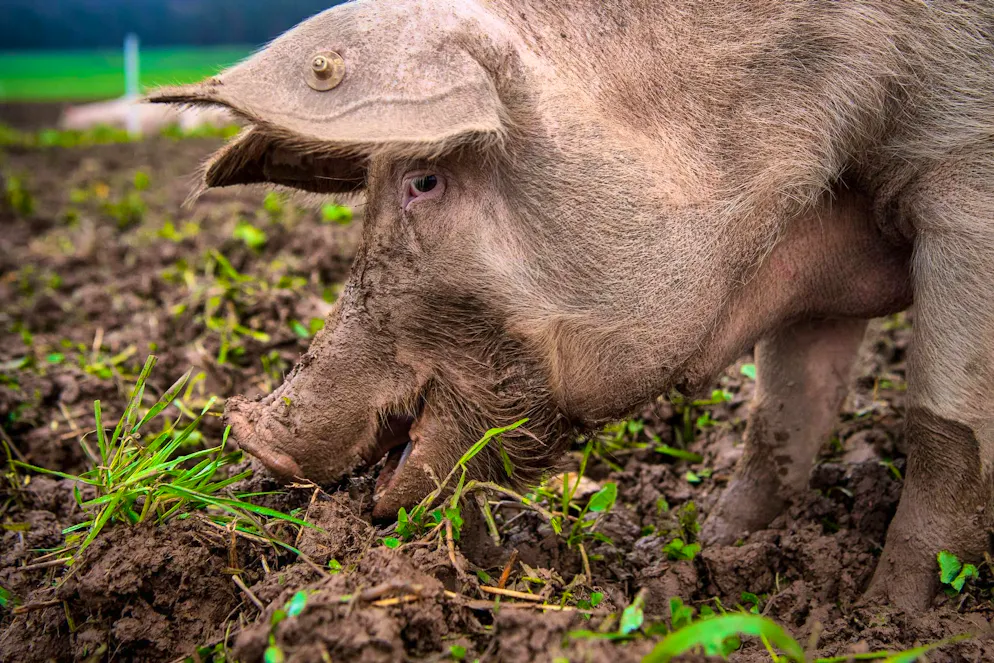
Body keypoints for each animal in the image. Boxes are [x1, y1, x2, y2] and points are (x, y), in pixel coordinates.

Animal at [149, 0, 994, 611]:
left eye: (425, 180)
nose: (250, 433)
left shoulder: (968, 188)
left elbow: (943, 424)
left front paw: (887, 612)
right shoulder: (813, 266)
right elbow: (782, 417)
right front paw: (709, 549)